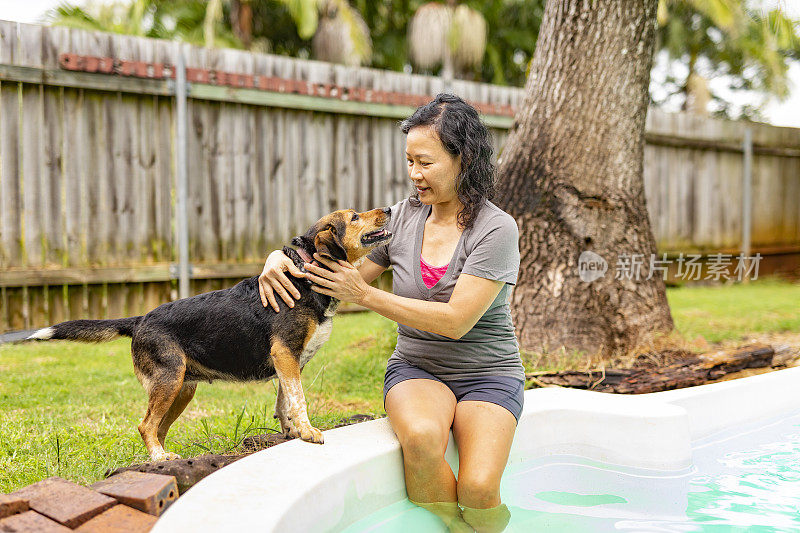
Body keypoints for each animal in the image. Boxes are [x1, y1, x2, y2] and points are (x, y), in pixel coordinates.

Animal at [27, 206, 394, 460]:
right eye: (355, 216)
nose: (389, 209)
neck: (306, 272)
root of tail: (141, 319)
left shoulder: (290, 363)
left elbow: (284, 403)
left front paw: (293, 433)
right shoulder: (285, 355)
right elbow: (298, 399)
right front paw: (308, 432)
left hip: (182, 389)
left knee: (157, 427)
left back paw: (165, 455)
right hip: (169, 380)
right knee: (145, 425)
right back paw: (159, 458)